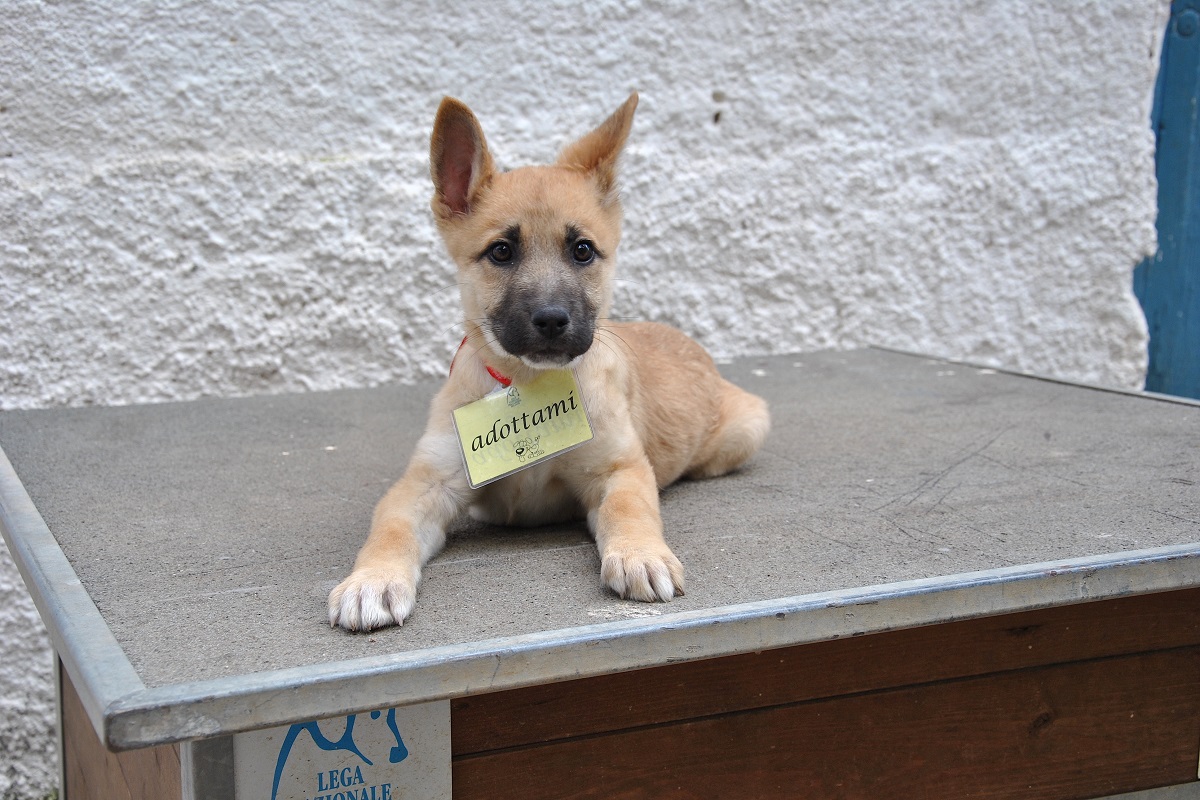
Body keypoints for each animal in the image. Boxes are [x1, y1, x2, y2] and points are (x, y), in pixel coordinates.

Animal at [331, 94, 768, 633]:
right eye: (501, 251)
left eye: (582, 250)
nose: (552, 320)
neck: (530, 381)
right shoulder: (425, 483)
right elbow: (390, 528)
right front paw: (371, 580)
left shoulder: (618, 469)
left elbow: (630, 510)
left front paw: (640, 554)